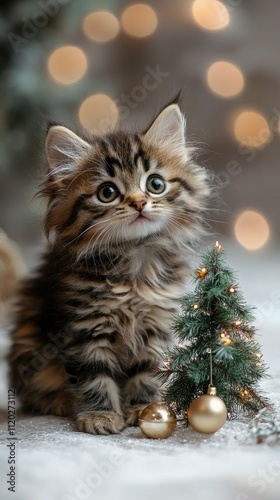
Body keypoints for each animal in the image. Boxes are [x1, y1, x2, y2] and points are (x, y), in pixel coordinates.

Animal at [8, 97, 210, 434]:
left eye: (155, 184)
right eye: (107, 193)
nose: (139, 203)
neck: (134, 262)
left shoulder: (156, 323)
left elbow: (147, 371)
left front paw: (145, 409)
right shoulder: (83, 326)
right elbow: (93, 375)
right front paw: (99, 415)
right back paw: (60, 403)